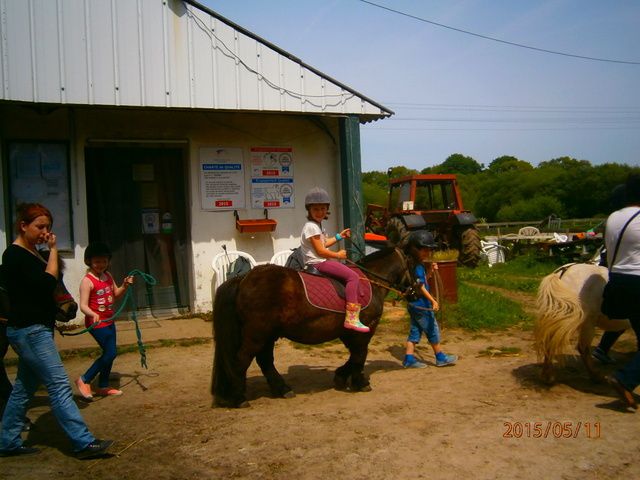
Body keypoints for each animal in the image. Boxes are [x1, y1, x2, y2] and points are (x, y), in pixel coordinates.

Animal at [210, 248, 410, 408]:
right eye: (413, 264)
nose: (414, 290)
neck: (370, 280)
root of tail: (243, 279)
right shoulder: (364, 329)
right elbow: (360, 356)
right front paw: (360, 382)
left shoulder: (349, 333)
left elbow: (354, 357)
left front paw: (341, 376)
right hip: (257, 334)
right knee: (241, 360)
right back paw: (238, 398)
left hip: (267, 334)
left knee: (265, 361)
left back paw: (282, 389)